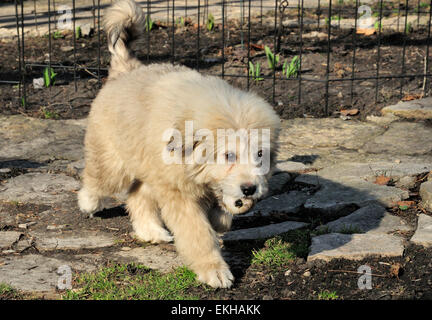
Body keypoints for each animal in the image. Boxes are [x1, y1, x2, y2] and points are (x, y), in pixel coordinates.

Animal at [77, 0, 280, 288]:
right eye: (229, 155)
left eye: (260, 154)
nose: (250, 188)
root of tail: (127, 69)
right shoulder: (179, 194)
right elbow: (198, 233)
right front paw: (214, 269)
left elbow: (222, 214)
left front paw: (225, 213)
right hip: (114, 162)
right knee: (98, 179)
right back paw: (88, 202)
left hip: (148, 166)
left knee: (138, 196)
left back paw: (151, 231)